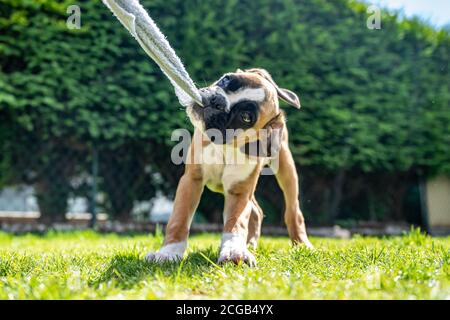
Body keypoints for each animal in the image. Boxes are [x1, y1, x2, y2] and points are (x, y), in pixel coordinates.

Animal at [147, 68, 312, 268]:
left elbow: (236, 222)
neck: (225, 146)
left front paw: (234, 250)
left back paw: (301, 244)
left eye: (246, 117)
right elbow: (179, 219)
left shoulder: (239, 191)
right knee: (256, 210)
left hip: (286, 170)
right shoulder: (192, 180)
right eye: (227, 80)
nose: (217, 101)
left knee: (292, 211)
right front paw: (169, 252)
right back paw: (251, 242)